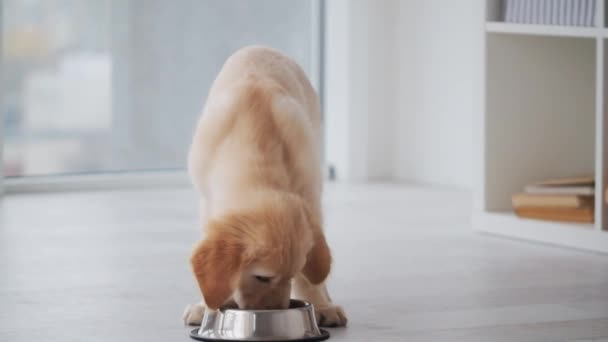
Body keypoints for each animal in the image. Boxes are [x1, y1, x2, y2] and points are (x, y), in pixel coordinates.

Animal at [182, 44, 346, 326]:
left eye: (292, 273)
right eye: (262, 277)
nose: (275, 311)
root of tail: (260, 46)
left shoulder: (309, 193)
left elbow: (312, 272)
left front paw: (321, 304)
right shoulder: (207, 200)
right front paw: (206, 306)